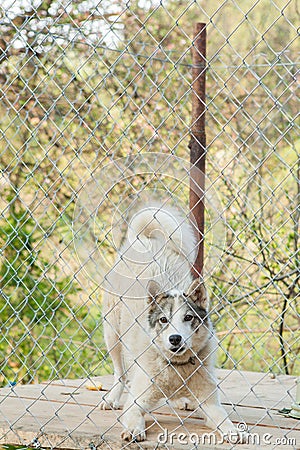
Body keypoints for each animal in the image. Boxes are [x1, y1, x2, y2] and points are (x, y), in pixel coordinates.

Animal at [99, 205, 245, 442]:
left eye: (188, 317)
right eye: (163, 320)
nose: (175, 339)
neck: (177, 368)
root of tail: (143, 240)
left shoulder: (211, 404)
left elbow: (223, 419)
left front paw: (233, 431)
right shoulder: (135, 403)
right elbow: (134, 415)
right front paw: (134, 430)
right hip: (112, 336)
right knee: (119, 372)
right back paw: (111, 398)